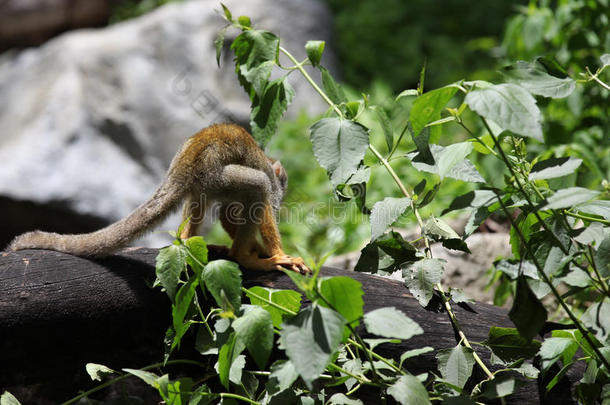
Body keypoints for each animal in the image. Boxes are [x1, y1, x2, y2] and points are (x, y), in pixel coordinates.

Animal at [10, 123, 308, 274]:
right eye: (284, 185)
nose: (284, 192)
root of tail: (184, 164)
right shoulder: (270, 186)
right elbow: (262, 198)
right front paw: (275, 253)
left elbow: (228, 214)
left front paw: (257, 248)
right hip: (219, 175)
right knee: (257, 186)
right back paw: (243, 258)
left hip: (207, 180)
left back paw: (191, 242)